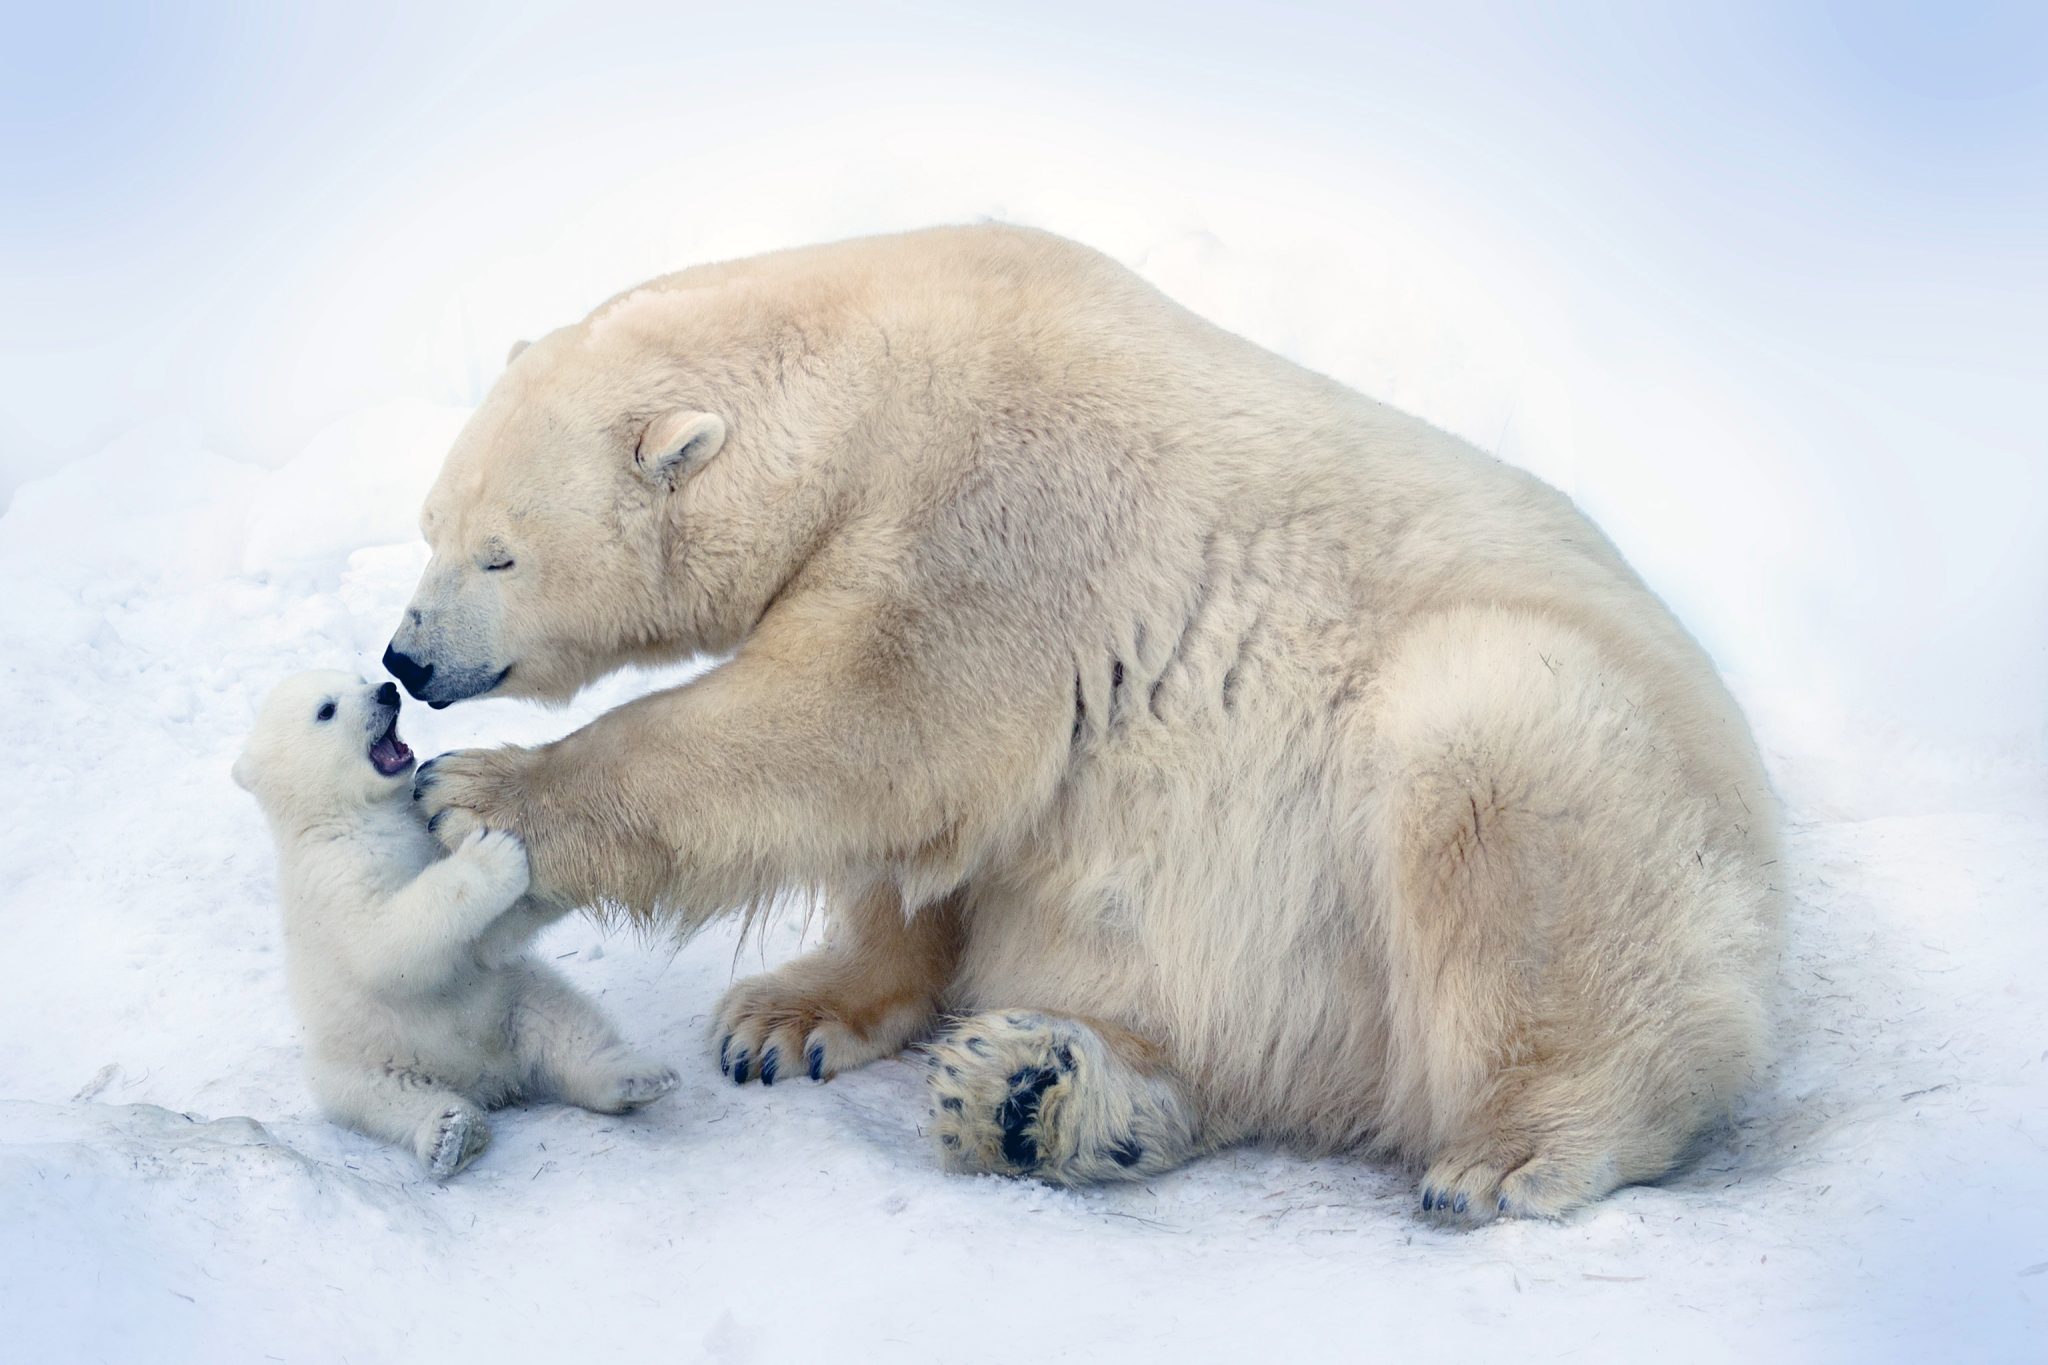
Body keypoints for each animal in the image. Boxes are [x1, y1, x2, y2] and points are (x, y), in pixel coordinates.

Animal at [395, 224, 1777, 1227]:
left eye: (501, 553)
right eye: (428, 524)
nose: (406, 658)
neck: (884, 374)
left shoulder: (1006, 510)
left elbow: (866, 725)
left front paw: (478, 797)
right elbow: (930, 832)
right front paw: (786, 1021)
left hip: (1574, 778)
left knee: (1505, 791)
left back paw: (1513, 1150)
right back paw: (1032, 1094)